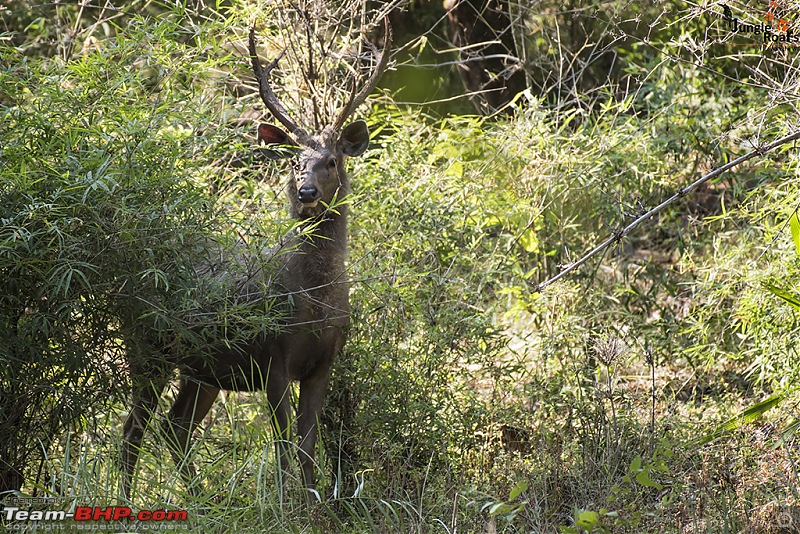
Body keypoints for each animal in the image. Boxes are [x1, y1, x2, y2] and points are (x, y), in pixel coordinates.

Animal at [120, 18, 392, 504]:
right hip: (146, 346)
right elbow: (283, 444)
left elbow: (307, 444)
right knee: (134, 429)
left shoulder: (324, 363)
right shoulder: (273, 356)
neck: (314, 300)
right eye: (293, 162)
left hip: (201, 367)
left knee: (174, 426)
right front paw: (287, 507)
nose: (306, 193)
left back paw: (203, 502)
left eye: (331, 160)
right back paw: (125, 501)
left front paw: (314, 505)